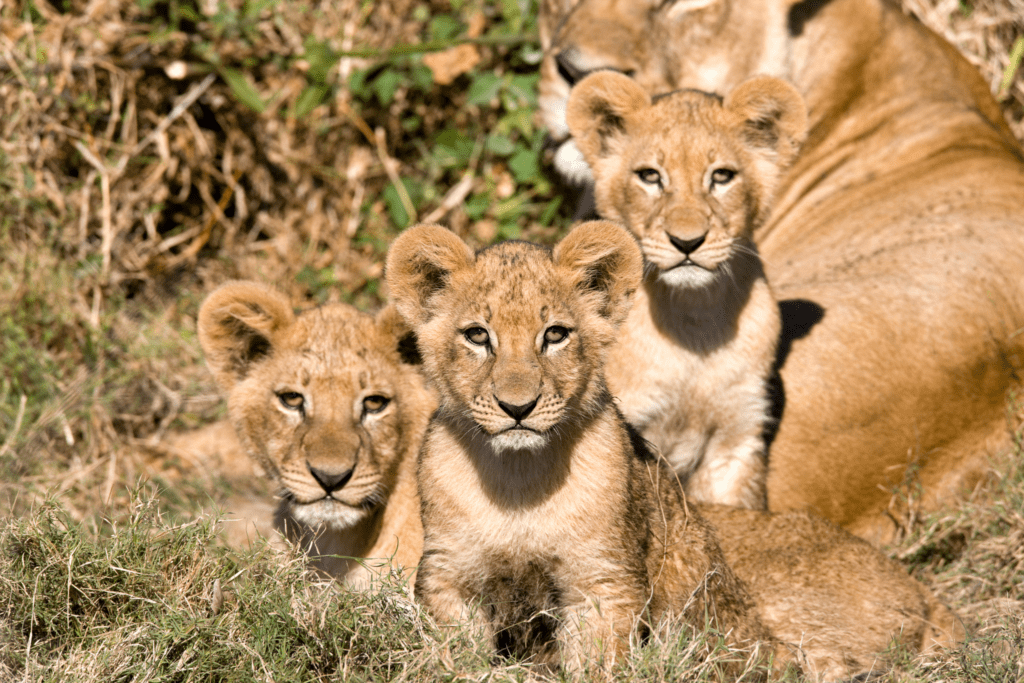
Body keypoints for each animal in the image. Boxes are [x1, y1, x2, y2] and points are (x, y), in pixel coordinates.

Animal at [384, 221, 962, 677]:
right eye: (477, 336)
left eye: (555, 335)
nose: (517, 407)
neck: (519, 482)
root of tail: (923, 591)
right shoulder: (450, 577)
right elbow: (455, 657)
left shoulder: (603, 581)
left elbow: (597, 662)